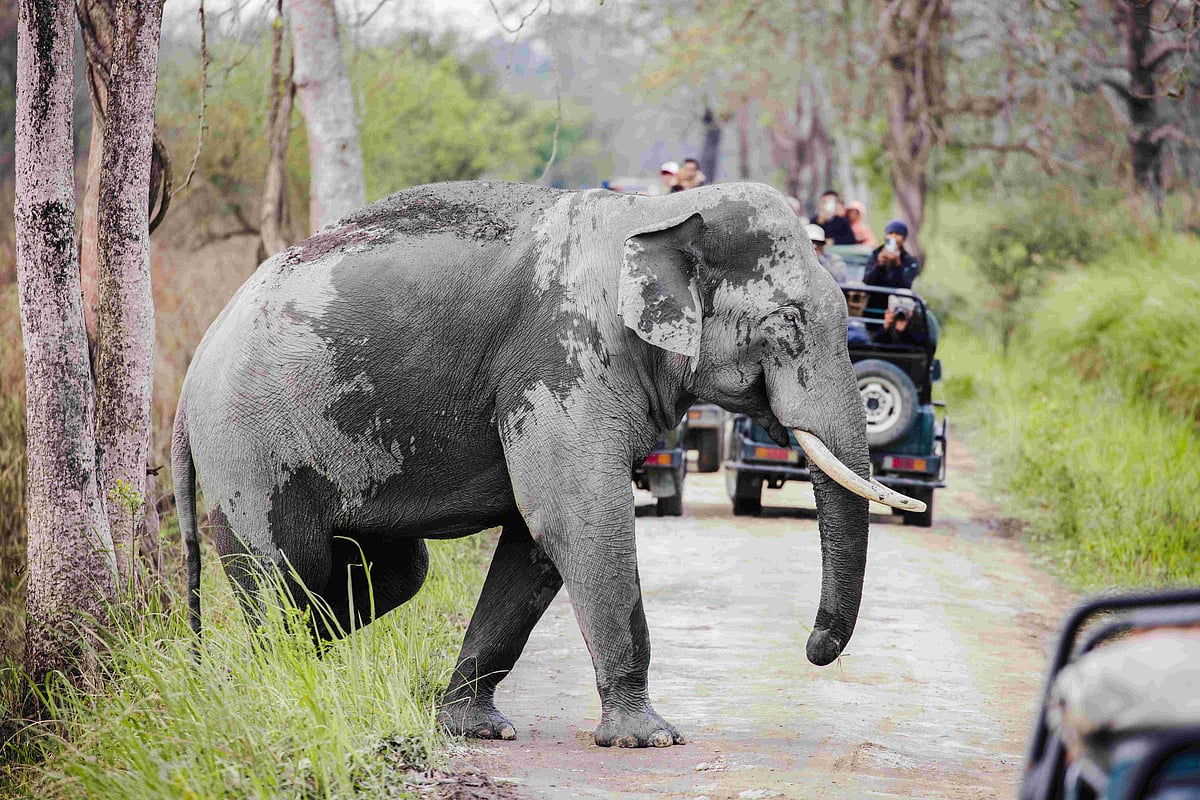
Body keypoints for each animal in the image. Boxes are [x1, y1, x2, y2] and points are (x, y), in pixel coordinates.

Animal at [172, 180, 924, 749]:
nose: (813, 648)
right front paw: (649, 739)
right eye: (790, 322)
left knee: (397, 569)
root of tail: (186, 381)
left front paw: (474, 729)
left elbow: (536, 543)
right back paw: (285, 683)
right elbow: (575, 517)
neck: (657, 213)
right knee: (288, 567)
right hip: (250, 444)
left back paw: (317, 676)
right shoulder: (563, 357)